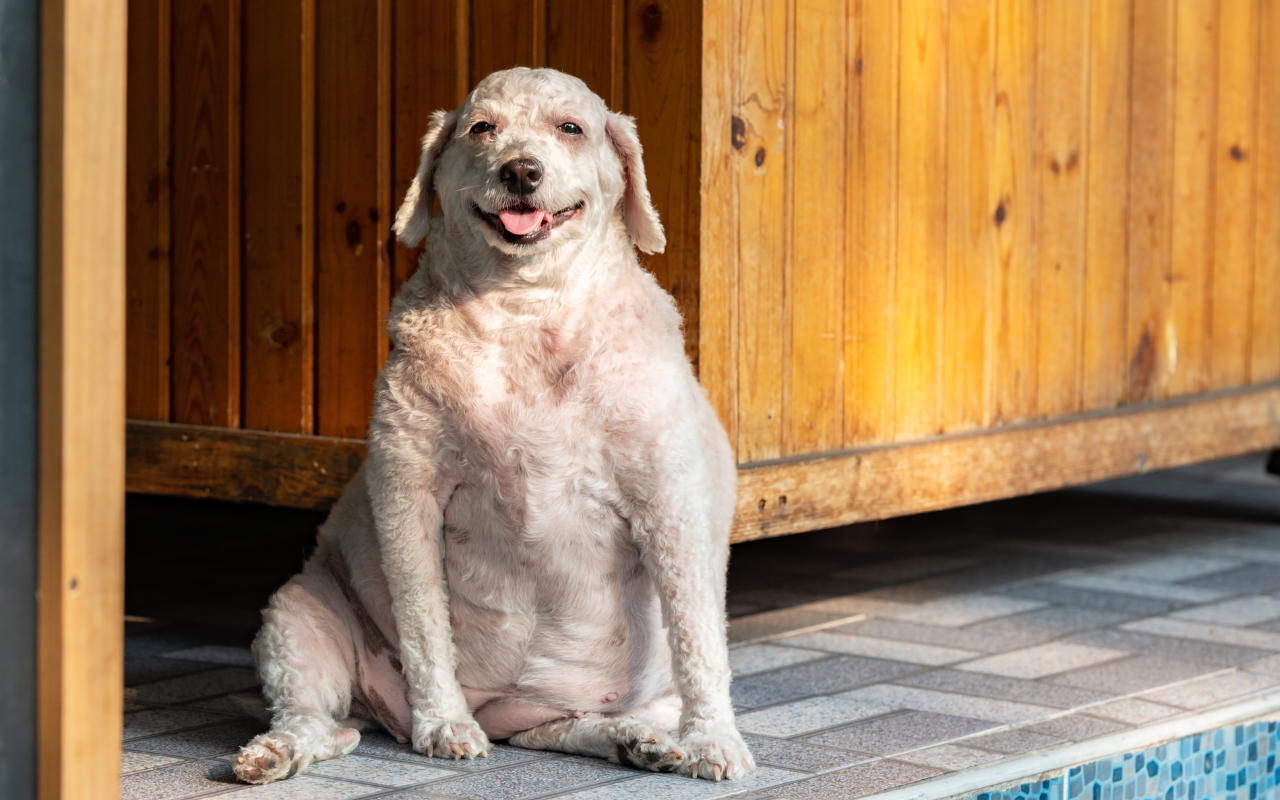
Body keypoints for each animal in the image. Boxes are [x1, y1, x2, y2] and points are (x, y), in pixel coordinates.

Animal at [234, 70, 752, 788]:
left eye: (571, 127)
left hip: (614, 696)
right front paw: (445, 725)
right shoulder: (408, 493)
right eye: (482, 127)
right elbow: (425, 626)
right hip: (300, 612)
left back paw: (635, 739)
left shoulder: (670, 503)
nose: (521, 171)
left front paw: (713, 742)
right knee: (320, 722)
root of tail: (509, 710)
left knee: (567, 726)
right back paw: (277, 751)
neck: (525, 307)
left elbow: (698, 636)